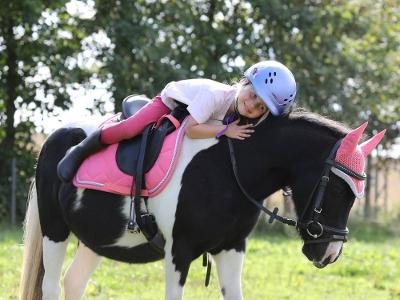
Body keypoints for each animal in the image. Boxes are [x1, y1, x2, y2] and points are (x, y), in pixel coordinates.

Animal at [19, 110, 384, 300]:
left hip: (97, 241)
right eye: (336, 189)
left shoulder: (232, 249)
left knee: (73, 283)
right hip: (55, 231)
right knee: (51, 285)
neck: (229, 168)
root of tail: (57, 136)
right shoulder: (178, 252)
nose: (329, 253)